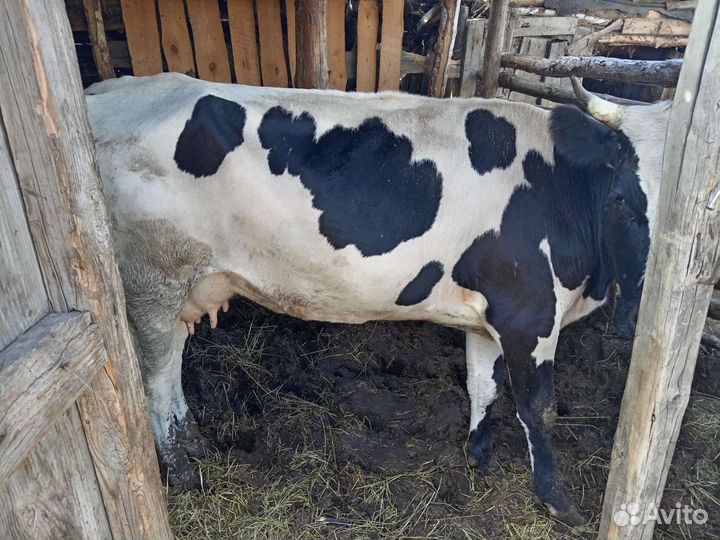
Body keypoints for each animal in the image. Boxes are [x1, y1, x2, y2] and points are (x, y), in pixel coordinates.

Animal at [85, 72, 670, 525]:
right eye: (623, 199)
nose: (640, 315)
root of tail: (107, 92)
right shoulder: (530, 317)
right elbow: (539, 408)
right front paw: (556, 500)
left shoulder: (491, 315)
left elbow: (483, 386)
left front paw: (477, 456)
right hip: (152, 283)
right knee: (158, 376)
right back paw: (183, 466)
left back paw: (194, 444)